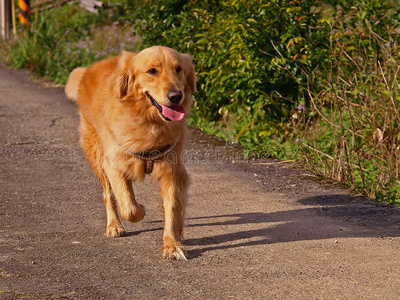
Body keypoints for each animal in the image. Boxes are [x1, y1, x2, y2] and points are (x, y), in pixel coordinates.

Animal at [64, 45, 197, 258]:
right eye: (152, 71)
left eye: (178, 69)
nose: (176, 96)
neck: (149, 122)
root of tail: (88, 70)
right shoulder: (113, 164)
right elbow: (129, 208)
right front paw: (141, 209)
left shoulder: (172, 171)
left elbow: (173, 208)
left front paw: (172, 244)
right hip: (97, 156)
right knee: (109, 195)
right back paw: (113, 226)